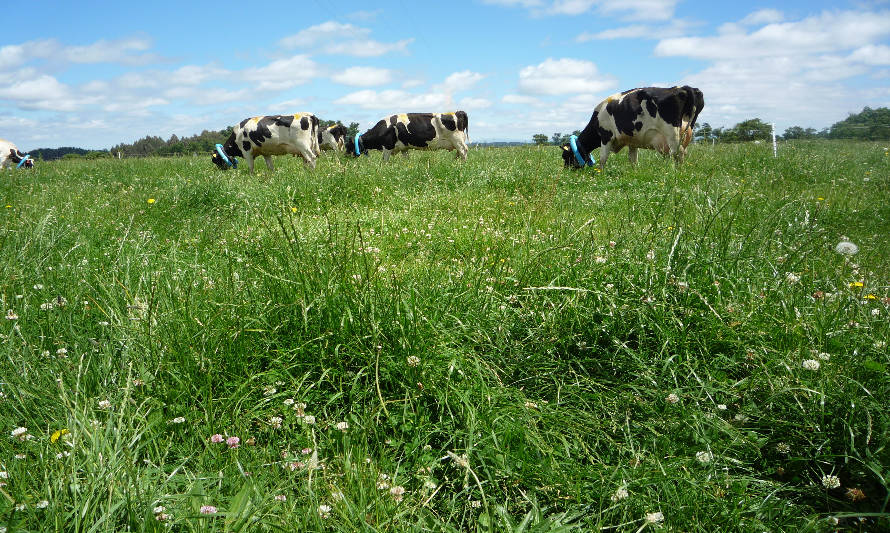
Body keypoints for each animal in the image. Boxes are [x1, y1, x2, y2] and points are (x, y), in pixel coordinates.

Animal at [560, 85, 700, 169]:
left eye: (565, 156)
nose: (566, 171)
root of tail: (680, 88)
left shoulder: (606, 136)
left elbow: (603, 158)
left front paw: (600, 173)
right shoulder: (633, 141)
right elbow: (633, 159)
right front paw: (634, 172)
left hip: (671, 134)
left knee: (678, 153)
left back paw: (676, 172)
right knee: (682, 152)